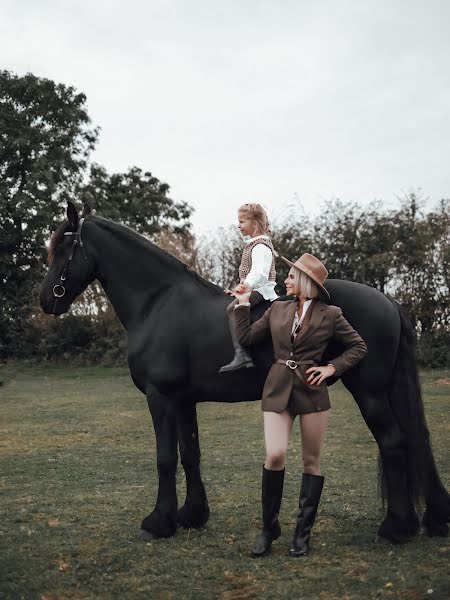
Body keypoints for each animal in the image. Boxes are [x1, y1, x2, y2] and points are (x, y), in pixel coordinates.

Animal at [39, 202, 450, 544]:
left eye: (63, 248)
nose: (45, 301)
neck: (159, 303)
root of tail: (389, 301)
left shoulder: (160, 398)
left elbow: (165, 458)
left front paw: (159, 522)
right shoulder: (183, 401)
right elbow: (190, 454)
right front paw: (192, 515)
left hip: (370, 392)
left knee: (394, 443)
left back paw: (395, 527)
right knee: (411, 441)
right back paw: (428, 520)